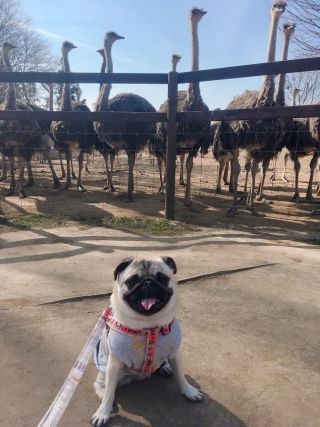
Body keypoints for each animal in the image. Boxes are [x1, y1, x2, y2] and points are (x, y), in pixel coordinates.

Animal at [91, 256, 204, 426]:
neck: (149, 327)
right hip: (105, 372)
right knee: (101, 385)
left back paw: (164, 367)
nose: (148, 282)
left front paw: (189, 391)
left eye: (163, 278)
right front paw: (103, 412)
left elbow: (181, 376)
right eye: (132, 281)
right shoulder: (114, 364)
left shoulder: (175, 354)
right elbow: (109, 392)